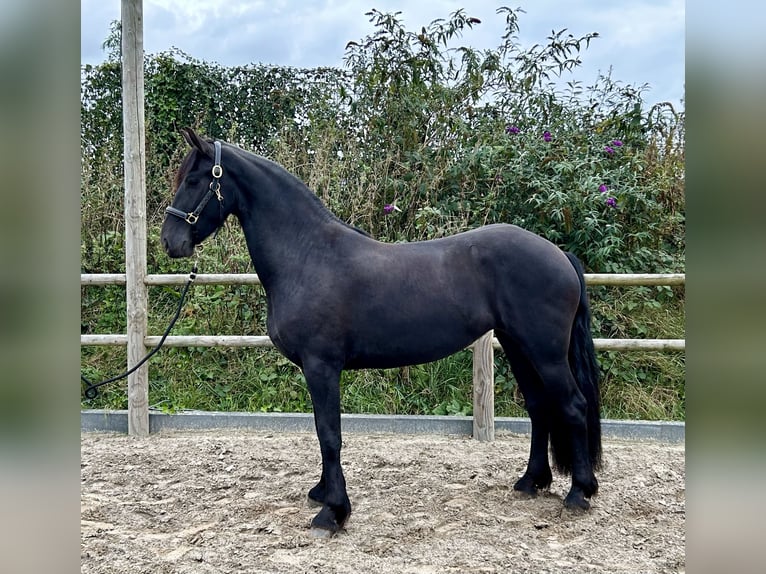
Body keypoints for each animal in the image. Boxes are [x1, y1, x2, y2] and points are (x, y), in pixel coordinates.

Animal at [162, 128, 604, 536]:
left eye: (195, 180)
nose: (170, 242)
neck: (306, 254)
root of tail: (558, 254)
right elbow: (323, 433)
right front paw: (322, 494)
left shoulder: (321, 366)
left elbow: (329, 434)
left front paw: (333, 512)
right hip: (517, 346)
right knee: (540, 407)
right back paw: (531, 481)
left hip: (545, 352)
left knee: (572, 405)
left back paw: (579, 492)